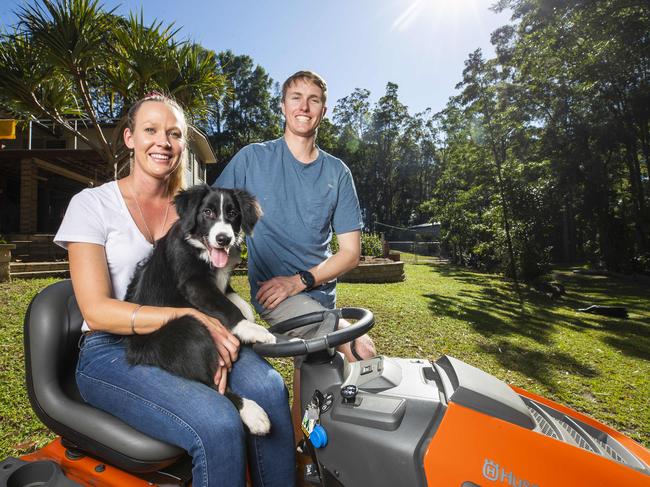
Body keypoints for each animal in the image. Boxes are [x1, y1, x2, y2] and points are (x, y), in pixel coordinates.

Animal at [123, 185, 274, 436]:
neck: (199, 248)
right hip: (190, 327)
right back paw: (252, 413)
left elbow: (234, 299)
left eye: (233, 213)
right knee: (214, 387)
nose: (223, 239)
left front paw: (249, 317)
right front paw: (252, 330)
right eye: (207, 212)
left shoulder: (220, 281)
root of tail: (135, 348)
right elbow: (226, 306)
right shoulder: (194, 283)